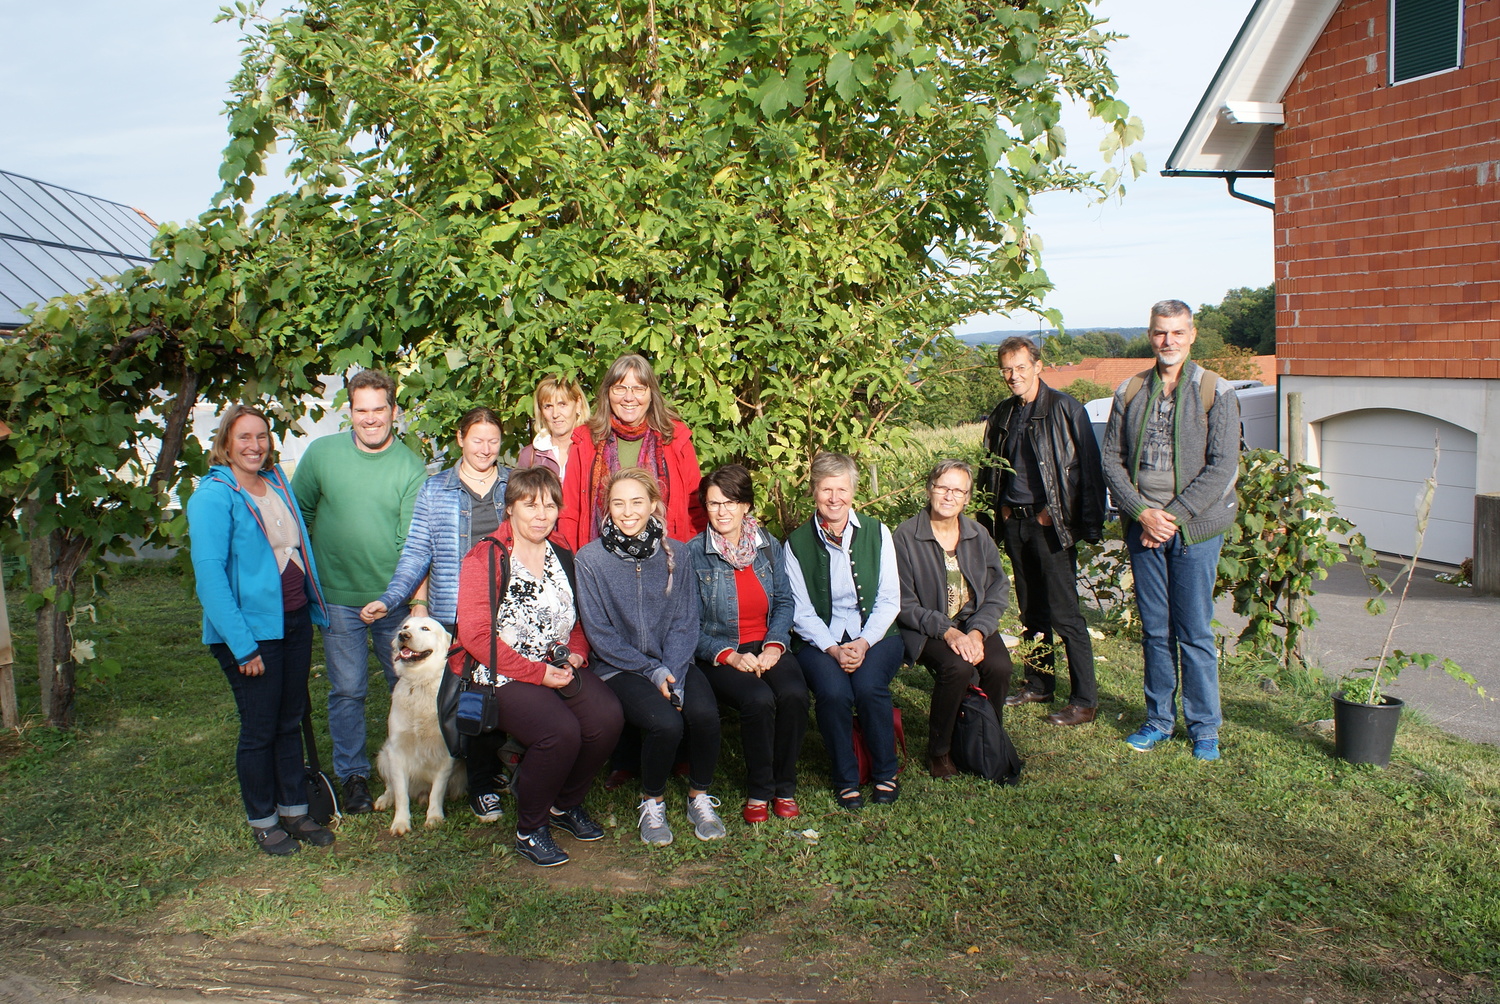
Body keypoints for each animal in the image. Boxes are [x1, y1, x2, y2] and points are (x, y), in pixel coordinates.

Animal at [374, 616, 466, 835]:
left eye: (425, 628)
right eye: (405, 627)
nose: (403, 636)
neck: (421, 682)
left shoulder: (447, 752)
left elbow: (437, 790)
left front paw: (434, 817)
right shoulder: (396, 751)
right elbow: (401, 793)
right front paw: (400, 822)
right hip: (383, 755)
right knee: (390, 786)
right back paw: (384, 799)